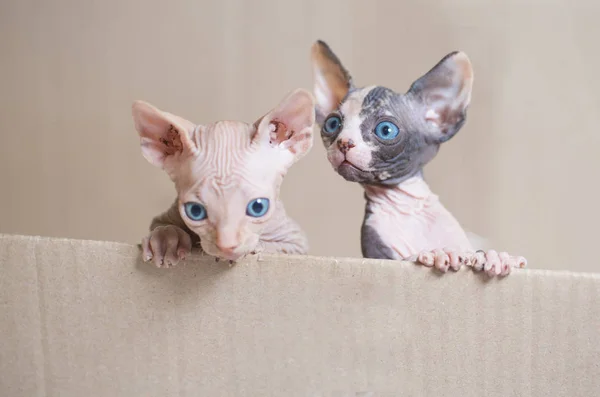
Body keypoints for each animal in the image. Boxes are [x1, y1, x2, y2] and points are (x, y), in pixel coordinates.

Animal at [131, 89, 314, 268]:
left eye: (258, 207)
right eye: (195, 211)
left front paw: (256, 247)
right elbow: (160, 226)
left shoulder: (296, 242)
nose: (227, 247)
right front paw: (167, 240)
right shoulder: (165, 216)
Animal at [312, 40, 528, 276]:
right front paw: (439, 254)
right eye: (332, 124)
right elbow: (407, 258)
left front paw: (493, 257)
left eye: (386, 130)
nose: (343, 142)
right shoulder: (378, 255)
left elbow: (475, 252)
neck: (410, 207)